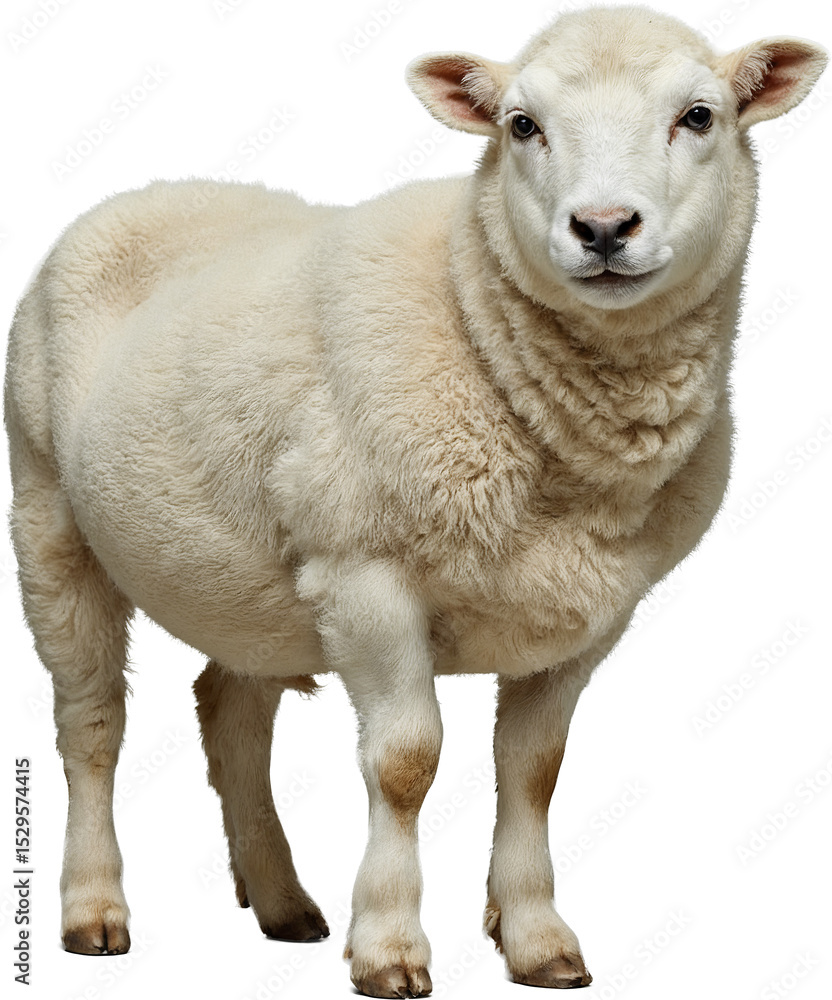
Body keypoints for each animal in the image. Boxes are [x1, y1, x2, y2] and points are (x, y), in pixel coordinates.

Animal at [4, 4, 827, 996]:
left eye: (699, 116)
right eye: (521, 125)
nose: (602, 228)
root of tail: (156, 189)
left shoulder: (591, 610)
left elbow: (535, 770)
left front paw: (536, 938)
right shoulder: (368, 572)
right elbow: (405, 764)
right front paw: (390, 947)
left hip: (249, 578)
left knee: (229, 710)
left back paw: (281, 901)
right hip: (48, 512)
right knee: (92, 724)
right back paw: (94, 908)